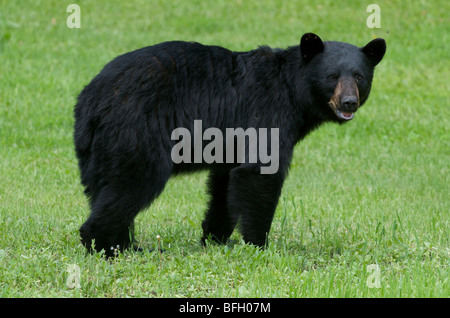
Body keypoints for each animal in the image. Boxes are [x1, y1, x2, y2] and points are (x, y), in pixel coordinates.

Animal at [74, 33, 386, 256]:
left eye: (359, 76)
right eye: (331, 76)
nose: (349, 102)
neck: (292, 91)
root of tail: (91, 97)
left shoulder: (230, 140)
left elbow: (224, 184)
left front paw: (214, 239)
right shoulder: (267, 111)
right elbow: (260, 170)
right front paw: (260, 245)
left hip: (97, 148)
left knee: (104, 189)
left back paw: (127, 244)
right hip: (136, 130)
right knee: (131, 184)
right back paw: (109, 247)